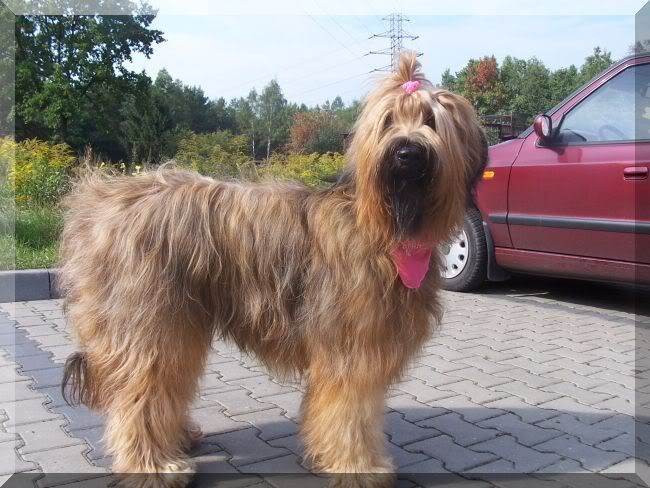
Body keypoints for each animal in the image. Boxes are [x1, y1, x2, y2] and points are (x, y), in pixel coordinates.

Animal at [59, 51, 487, 487]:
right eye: (387, 123)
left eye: (431, 121)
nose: (406, 152)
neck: (382, 228)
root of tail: (100, 204)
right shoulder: (351, 352)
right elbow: (351, 414)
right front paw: (360, 466)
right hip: (150, 322)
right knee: (140, 395)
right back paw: (155, 466)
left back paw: (178, 439)